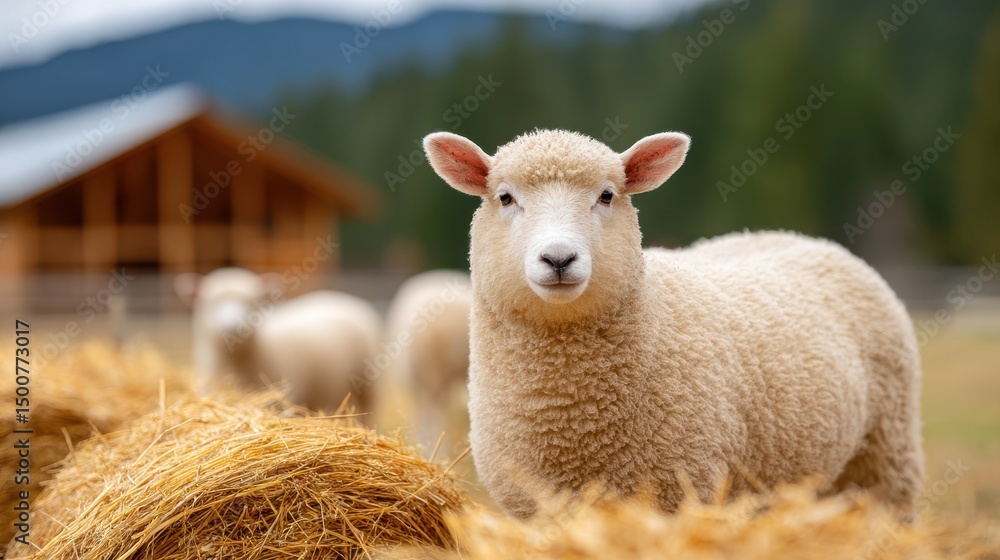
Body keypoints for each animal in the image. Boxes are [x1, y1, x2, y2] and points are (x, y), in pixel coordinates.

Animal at [422, 129, 924, 520]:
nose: (559, 258)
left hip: (886, 453)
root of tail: (800, 237)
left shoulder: (683, 492)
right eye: (505, 197)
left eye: (607, 195)